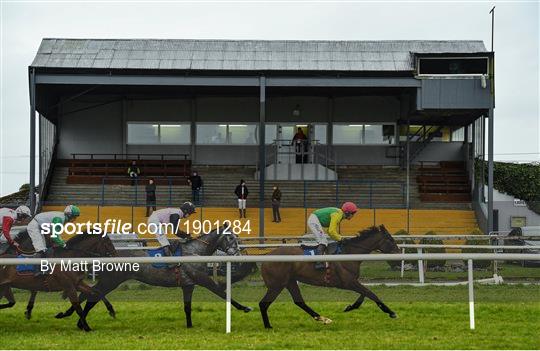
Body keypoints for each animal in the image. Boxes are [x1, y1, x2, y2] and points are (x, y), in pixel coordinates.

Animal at [56, 228, 254, 330]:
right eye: (231, 237)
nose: (238, 252)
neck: (195, 251)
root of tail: (108, 254)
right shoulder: (202, 279)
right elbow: (222, 292)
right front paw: (244, 307)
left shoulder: (188, 285)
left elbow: (187, 307)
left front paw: (189, 326)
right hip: (111, 281)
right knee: (92, 296)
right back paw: (80, 321)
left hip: (109, 280)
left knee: (88, 295)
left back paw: (73, 318)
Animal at [258, 226, 400, 330]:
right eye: (390, 239)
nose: (398, 253)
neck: (349, 254)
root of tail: (266, 257)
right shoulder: (348, 282)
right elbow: (370, 293)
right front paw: (390, 312)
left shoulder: (352, 281)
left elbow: (364, 294)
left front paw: (350, 307)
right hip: (277, 284)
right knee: (263, 304)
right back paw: (268, 326)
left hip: (290, 281)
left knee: (299, 302)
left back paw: (323, 319)